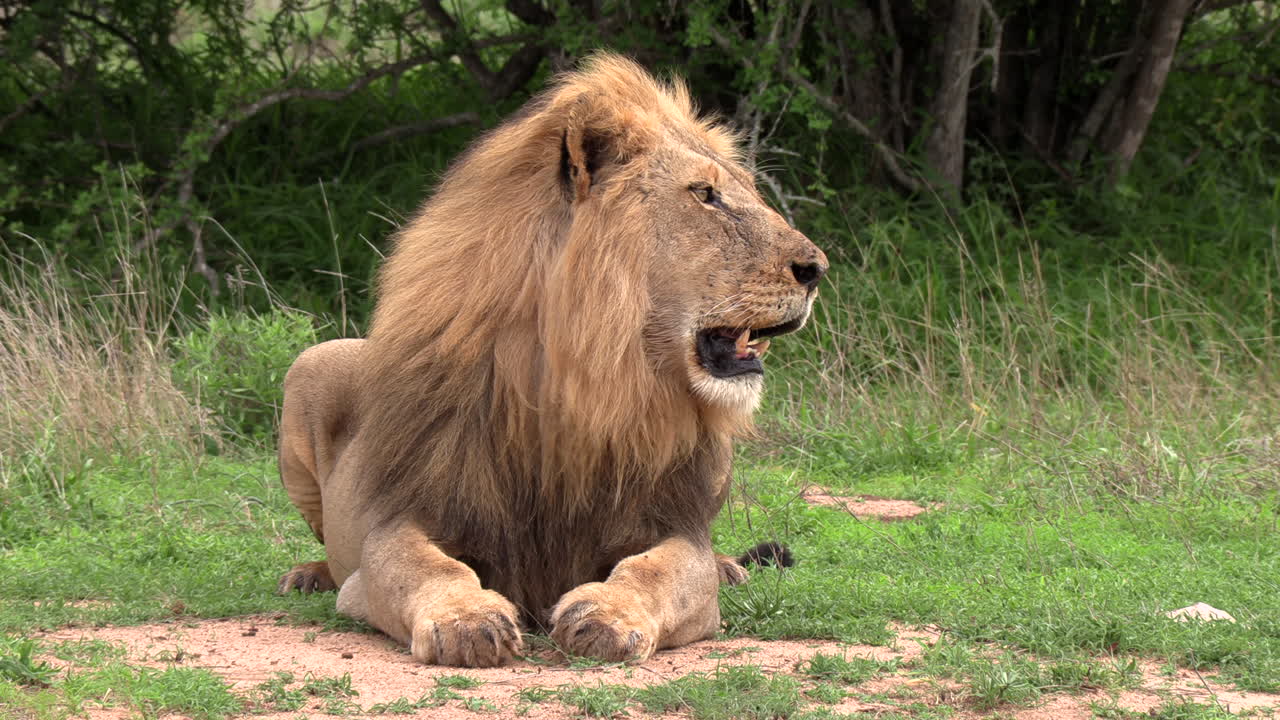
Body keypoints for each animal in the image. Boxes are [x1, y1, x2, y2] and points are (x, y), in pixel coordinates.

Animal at [276, 53, 827, 668]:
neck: (590, 384)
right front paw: (466, 620)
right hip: (311, 365)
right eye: (705, 194)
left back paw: (731, 567)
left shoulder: (671, 527)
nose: (818, 269)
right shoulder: (406, 516)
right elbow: (424, 567)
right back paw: (306, 574)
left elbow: (660, 571)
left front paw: (608, 615)